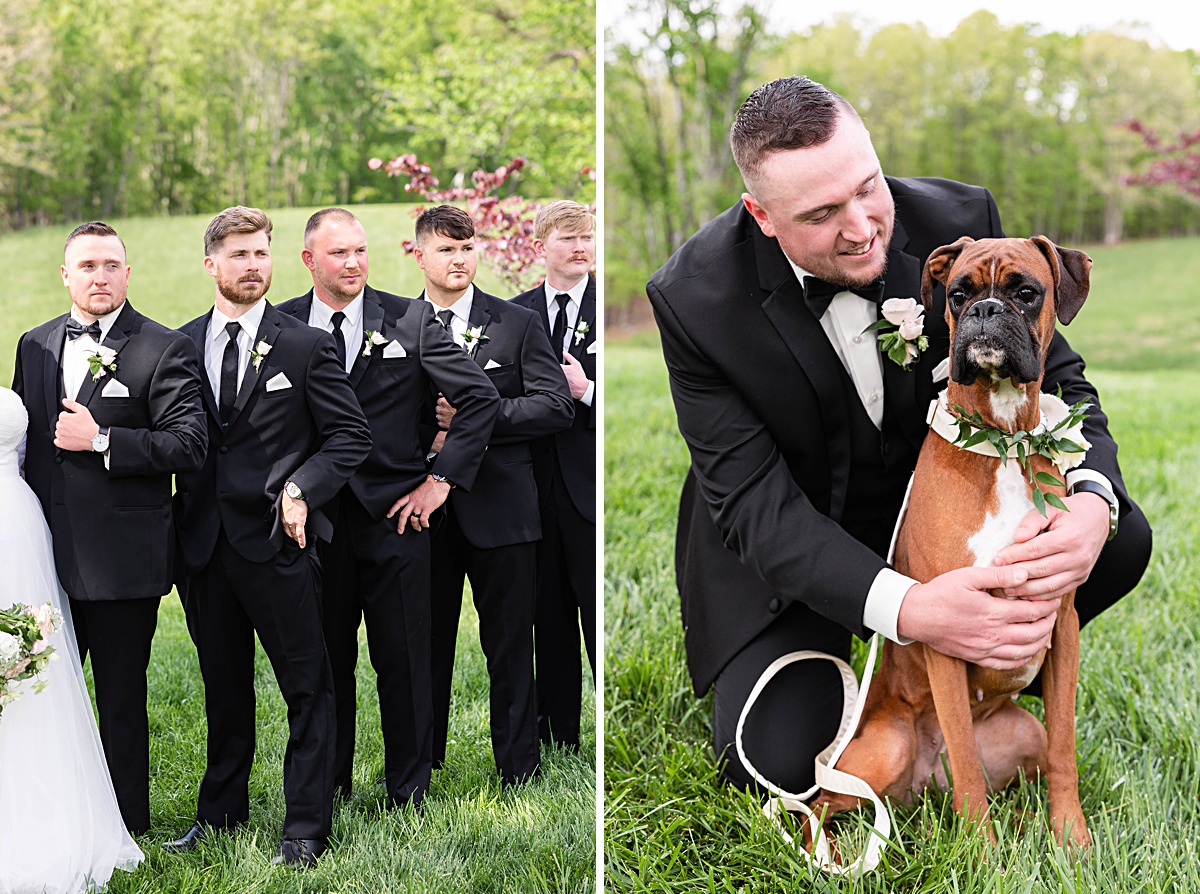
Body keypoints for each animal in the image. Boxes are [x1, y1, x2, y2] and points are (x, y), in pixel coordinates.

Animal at [811, 235, 1094, 849]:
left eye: (1026, 293)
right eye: (959, 293)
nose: (985, 311)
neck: (1003, 443)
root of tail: (921, 792)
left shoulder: (1063, 628)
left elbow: (1064, 745)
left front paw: (1071, 838)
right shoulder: (950, 634)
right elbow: (964, 760)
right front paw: (983, 854)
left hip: (1022, 732)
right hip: (886, 749)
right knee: (814, 805)